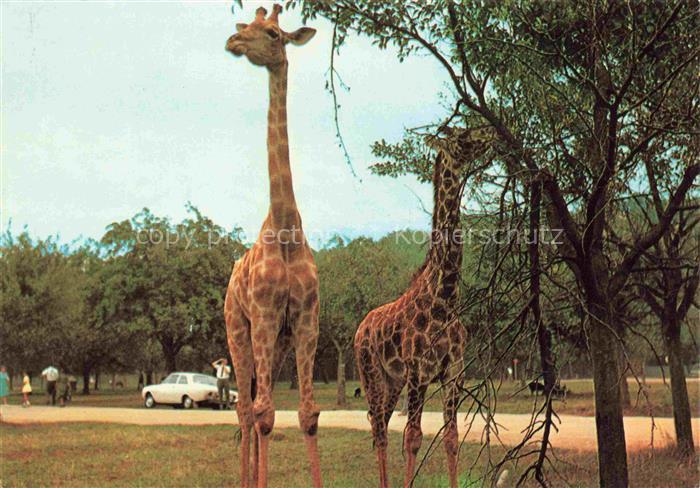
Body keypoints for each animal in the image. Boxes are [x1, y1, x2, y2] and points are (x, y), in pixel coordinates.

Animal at [354, 126, 497, 488]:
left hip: (392, 381)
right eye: (462, 136)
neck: (445, 297)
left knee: (381, 425)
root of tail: (360, 329)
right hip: (371, 373)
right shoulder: (419, 372)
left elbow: (451, 437)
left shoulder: (454, 373)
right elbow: (413, 438)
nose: (489, 133)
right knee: (379, 430)